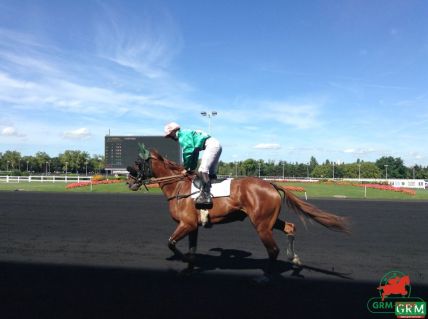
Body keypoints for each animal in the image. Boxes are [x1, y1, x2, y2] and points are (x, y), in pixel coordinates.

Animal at [126, 146, 348, 276]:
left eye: (137, 163)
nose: (128, 181)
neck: (179, 187)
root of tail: (270, 184)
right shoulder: (192, 225)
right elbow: (191, 248)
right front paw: (190, 267)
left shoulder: (186, 224)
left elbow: (171, 243)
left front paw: (187, 263)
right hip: (269, 220)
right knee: (290, 228)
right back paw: (294, 260)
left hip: (261, 224)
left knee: (273, 250)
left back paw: (267, 276)